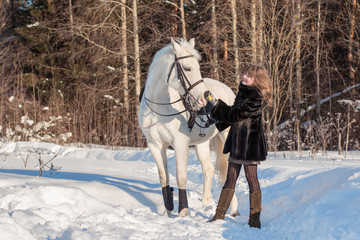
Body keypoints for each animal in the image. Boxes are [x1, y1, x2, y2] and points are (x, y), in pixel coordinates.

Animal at [139, 38, 239, 218]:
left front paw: (182, 211)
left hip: (226, 137)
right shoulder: (155, 145)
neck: (158, 108)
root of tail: (227, 89)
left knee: (230, 171)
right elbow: (163, 177)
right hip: (202, 143)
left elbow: (181, 177)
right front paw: (168, 210)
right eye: (187, 68)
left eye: (197, 66)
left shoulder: (180, 143)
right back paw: (205, 203)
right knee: (208, 169)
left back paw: (233, 209)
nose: (204, 98)